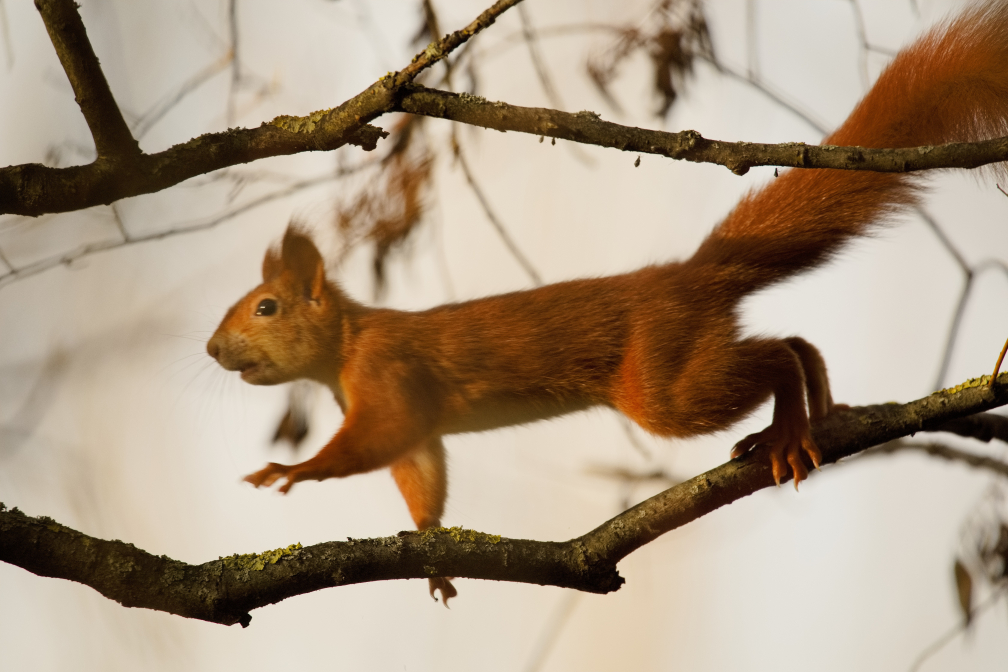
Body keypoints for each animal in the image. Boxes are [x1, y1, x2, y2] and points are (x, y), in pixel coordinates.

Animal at [207, 2, 1008, 604]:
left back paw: (784, 427)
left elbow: (376, 441)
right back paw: (822, 409)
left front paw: (293, 471)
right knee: (796, 342)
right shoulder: (411, 422)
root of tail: (687, 277)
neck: (346, 347)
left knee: (771, 356)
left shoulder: (387, 375)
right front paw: (434, 558)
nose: (212, 350)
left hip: (662, 382)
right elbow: (420, 472)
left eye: (266, 308)